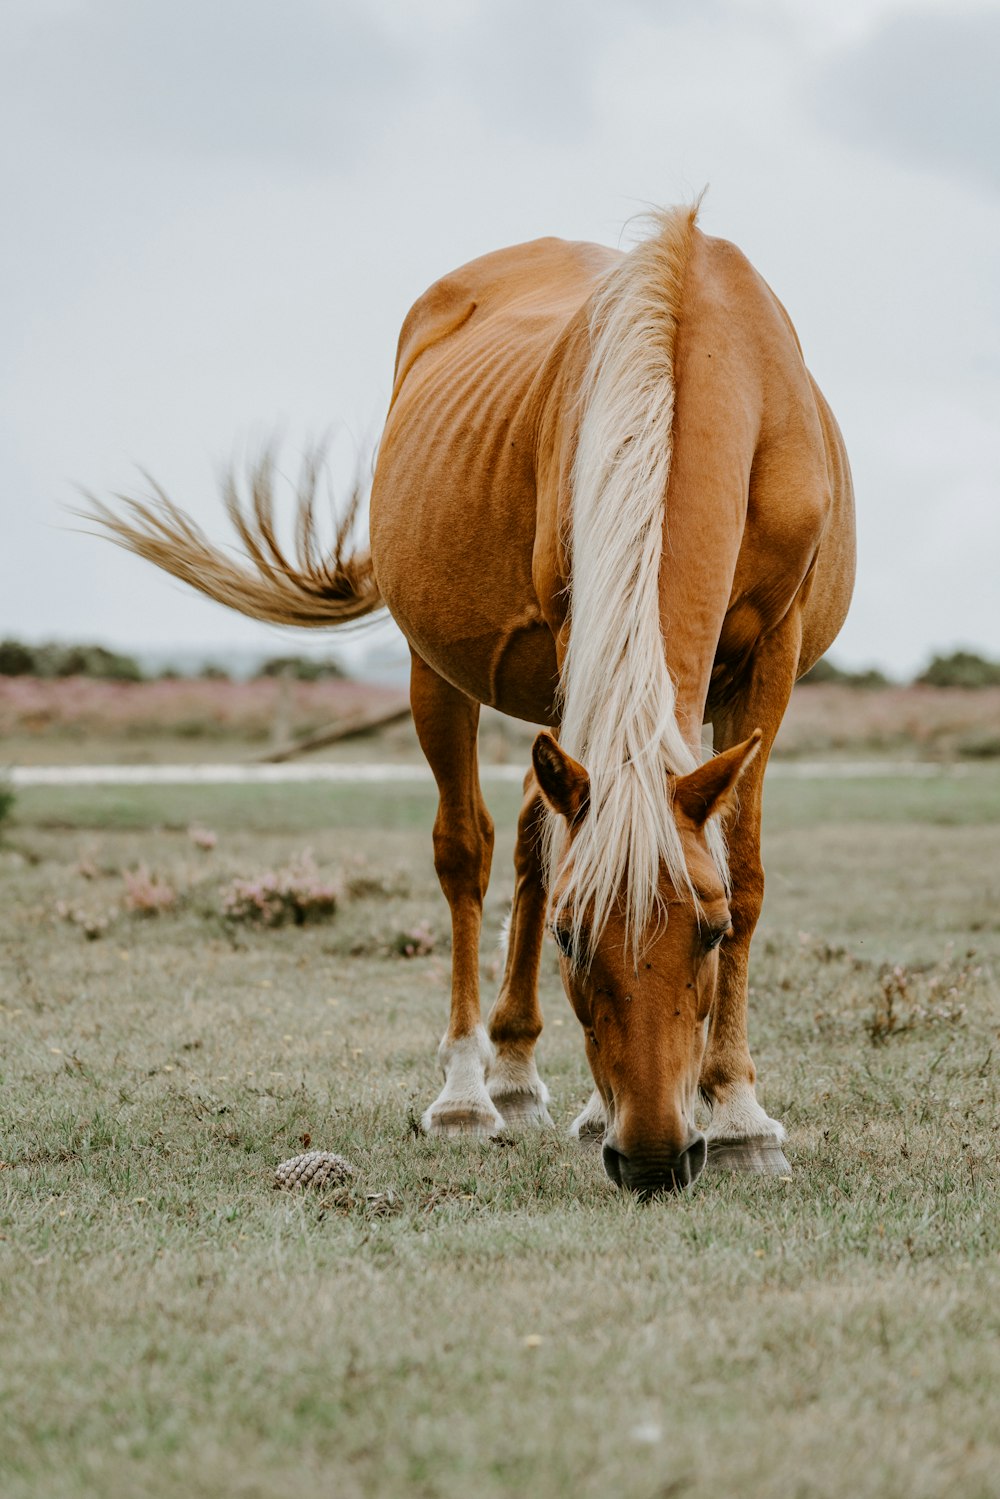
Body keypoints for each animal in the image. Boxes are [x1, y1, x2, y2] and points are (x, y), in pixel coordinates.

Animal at [93, 199, 857, 1193]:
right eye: (570, 936)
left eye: (712, 930)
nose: (653, 1156)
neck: (704, 356)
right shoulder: (577, 629)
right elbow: (534, 854)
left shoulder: (772, 652)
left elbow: (749, 868)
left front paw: (737, 1116)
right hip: (441, 671)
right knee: (473, 850)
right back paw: (475, 1088)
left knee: (537, 824)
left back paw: (535, 1079)